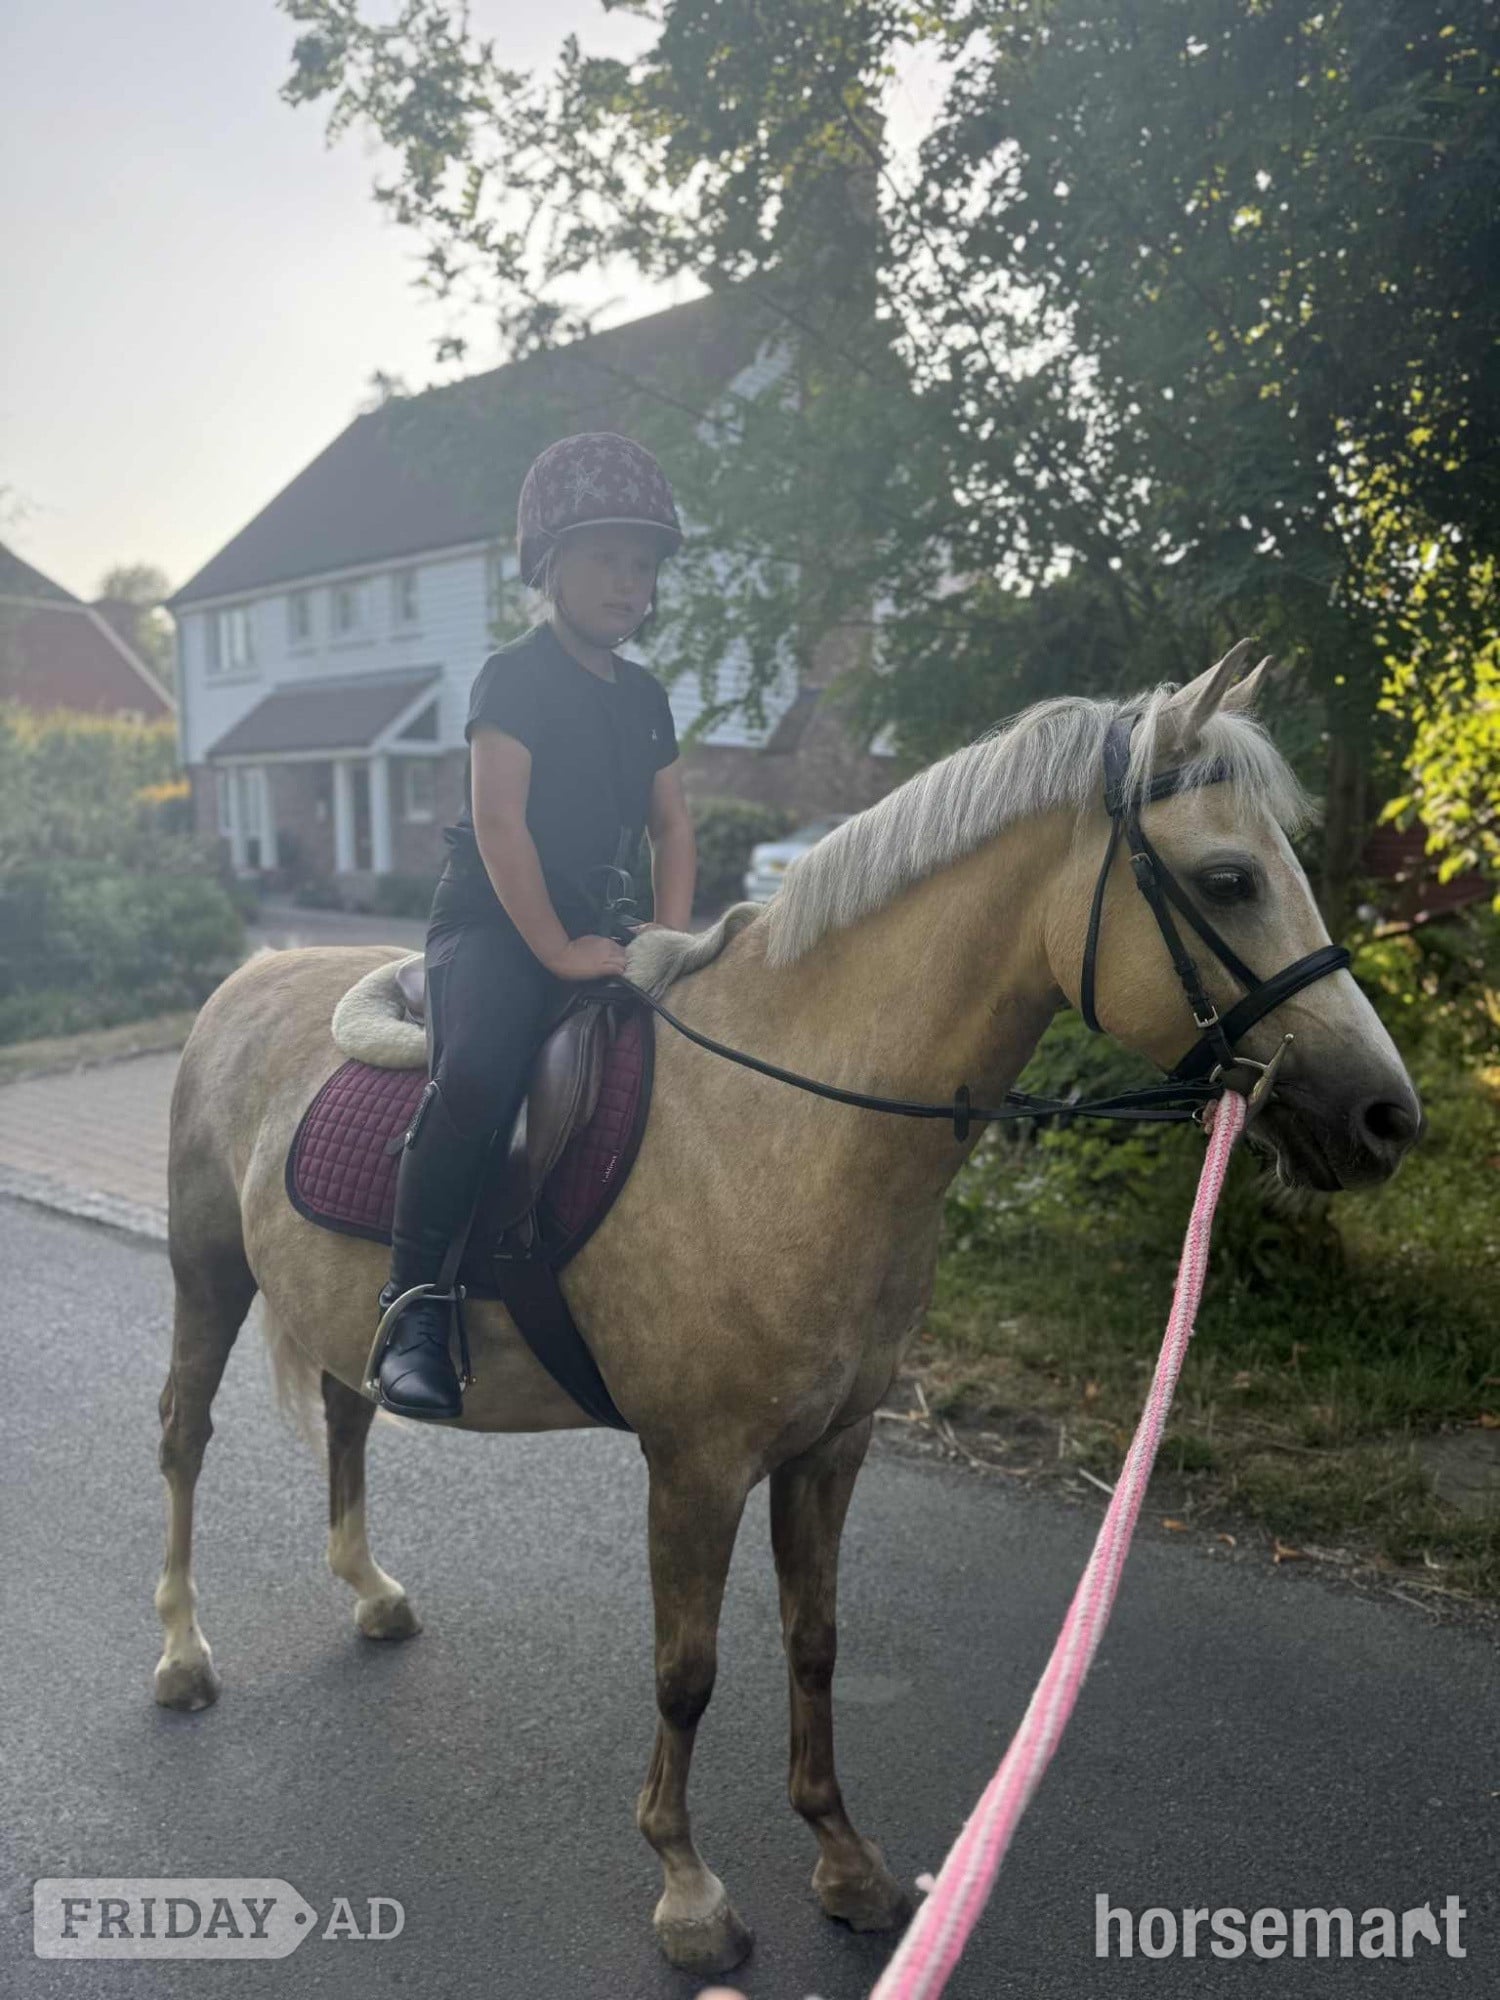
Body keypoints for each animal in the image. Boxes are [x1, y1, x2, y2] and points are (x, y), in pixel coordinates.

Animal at [153, 649, 1420, 1977]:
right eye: (1229, 878)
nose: (1388, 1114)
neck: (788, 1119)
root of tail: (248, 974)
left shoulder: (831, 1445)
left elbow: (814, 1640)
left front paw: (846, 1859)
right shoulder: (695, 1465)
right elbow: (687, 1666)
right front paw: (688, 1887)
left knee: (348, 1416)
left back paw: (369, 1590)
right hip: (206, 1276)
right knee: (184, 1436)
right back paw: (182, 1654)